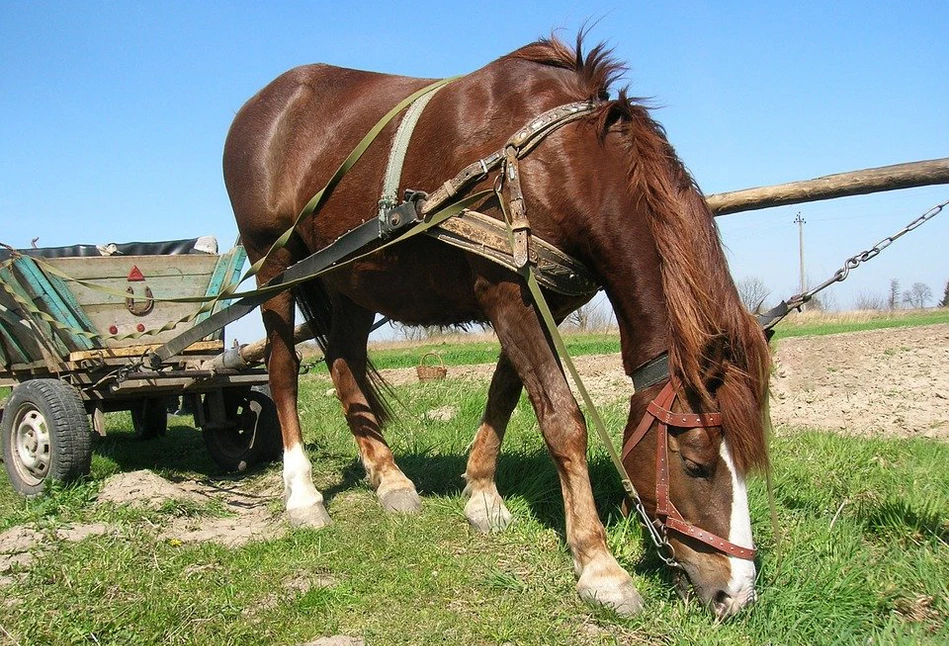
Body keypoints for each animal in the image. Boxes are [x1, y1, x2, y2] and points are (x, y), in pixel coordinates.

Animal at [222, 34, 772, 616]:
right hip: (273, 264)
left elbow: (505, 392)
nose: (737, 594)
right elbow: (562, 420)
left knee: (344, 358)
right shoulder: (505, 293)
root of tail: (265, 103)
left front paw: (483, 493)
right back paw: (302, 494)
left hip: (350, 277)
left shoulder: (545, 299)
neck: (549, 162)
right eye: (695, 464)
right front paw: (599, 566)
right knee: (284, 366)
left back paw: (388, 476)